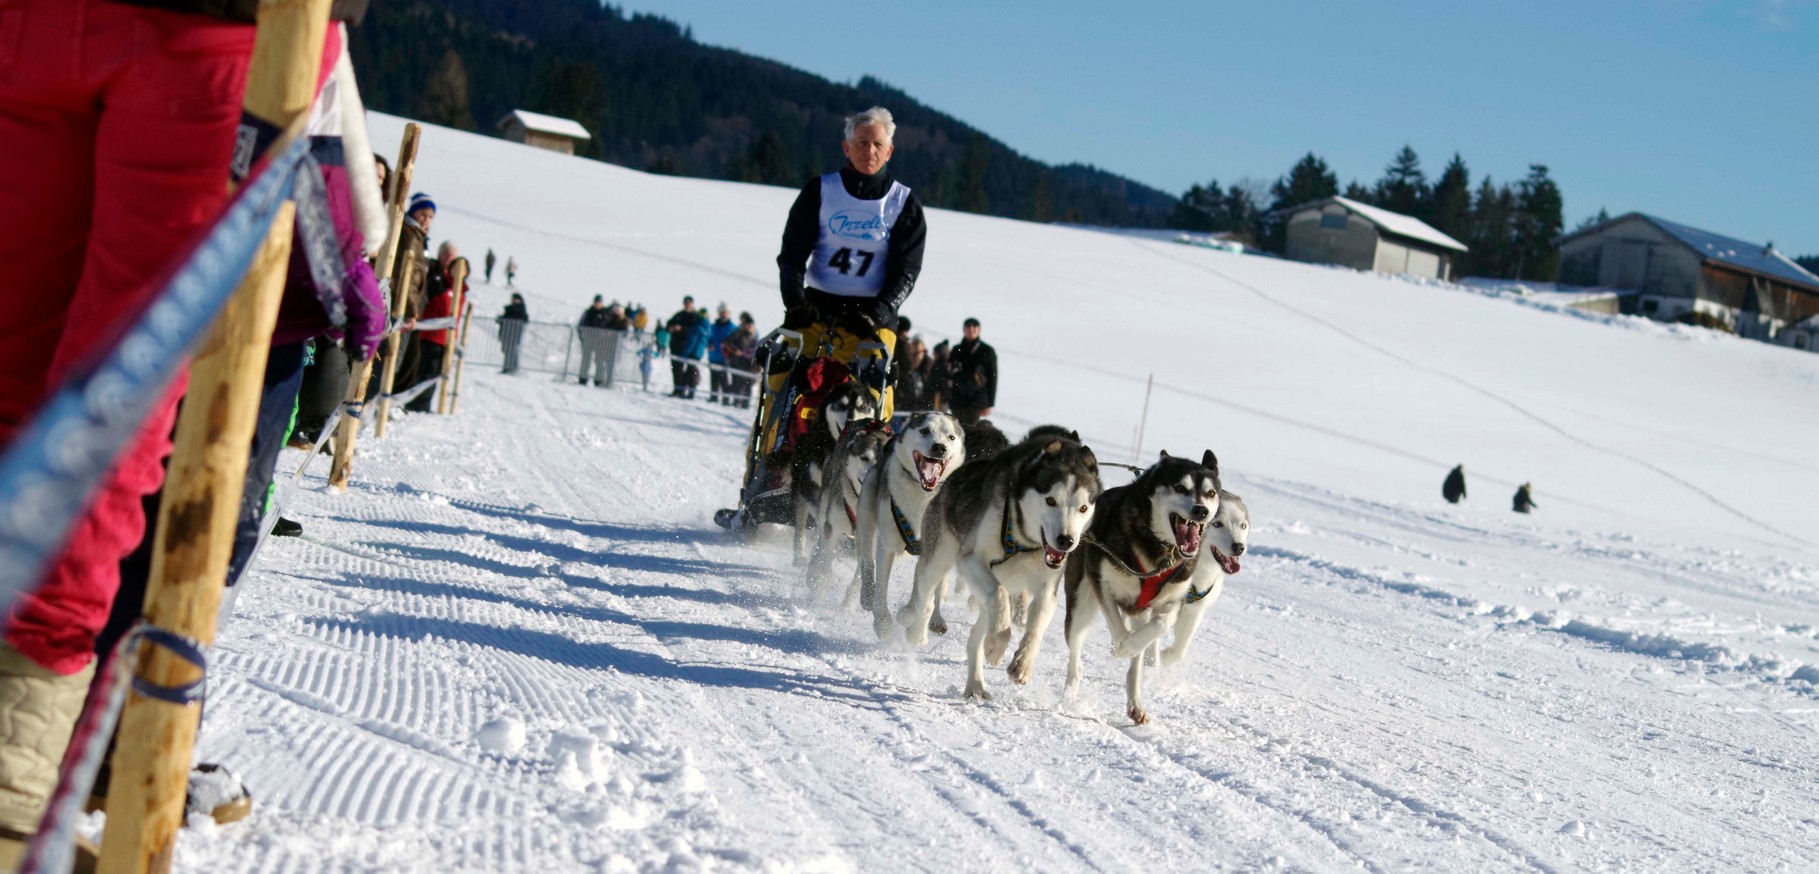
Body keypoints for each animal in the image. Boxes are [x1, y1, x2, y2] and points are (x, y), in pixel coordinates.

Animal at [789, 384, 880, 564]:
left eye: (862, 406)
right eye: (841, 405)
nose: (851, 421)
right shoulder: (810, 485)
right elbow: (820, 517)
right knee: (801, 524)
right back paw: (800, 555)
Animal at [807, 420, 898, 597]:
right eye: (864, 458)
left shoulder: (873, 540)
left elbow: (860, 577)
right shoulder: (833, 527)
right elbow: (825, 563)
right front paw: (818, 588)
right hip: (825, 507)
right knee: (821, 539)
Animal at [844, 413, 967, 637]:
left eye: (951, 437)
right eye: (924, 431)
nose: (940, 448)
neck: (922, 495)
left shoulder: (933, 549)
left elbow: (922, 590)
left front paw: (908, 614)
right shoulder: (888, 544)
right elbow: (881, 586)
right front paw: (883, 624)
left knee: (936, 586)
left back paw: (935, 618)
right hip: (867, 507)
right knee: (866, 560)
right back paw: (866, 594)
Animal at [898, 433, 1098, 699]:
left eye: (1083, 507)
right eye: (1051, 500)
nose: (1066, 541)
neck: (1025, 540)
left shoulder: (1047, 588)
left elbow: (1036, 626)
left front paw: (1023, 663)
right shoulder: (971, 559)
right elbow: (998, 594)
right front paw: (997, 644)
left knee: (976, 634)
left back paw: (976, 684)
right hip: (940, 558)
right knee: (927, 596)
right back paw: (917, 632)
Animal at [1062, 451, 1222, 724]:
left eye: (1210, 493)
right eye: (1180, 487)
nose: (1200, 510)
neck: (1159, 547)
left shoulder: (1172, 601)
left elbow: (1161, 624)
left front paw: (1131, 645)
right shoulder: (1101, 580)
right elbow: (1117, 627)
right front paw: (1122, 645)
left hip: (1140, 613)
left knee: (1136, 664)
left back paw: (1135, 704)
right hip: (1079, 602)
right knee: (1075, 651)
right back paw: (1072, 691)